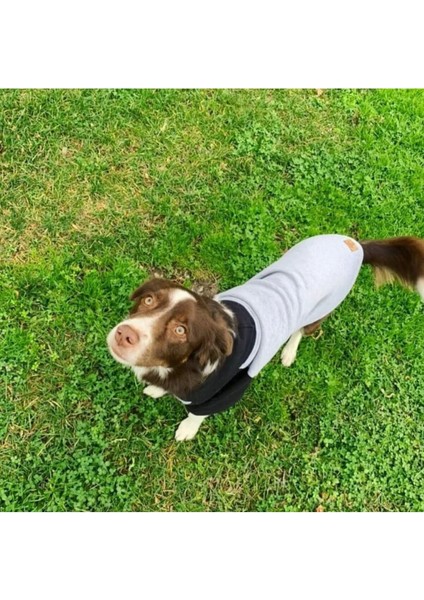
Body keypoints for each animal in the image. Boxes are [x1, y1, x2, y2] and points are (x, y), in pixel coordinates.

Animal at [107, 234, 424, 441]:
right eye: (148, 300)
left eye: (180, 330)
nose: (124, 334)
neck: (182, 366)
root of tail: (355, 245)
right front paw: (157, 390)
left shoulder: (224, 393)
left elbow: (197, 414)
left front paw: (187, 429)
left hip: (319, 311)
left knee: (300, 331)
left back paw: (288, 353)